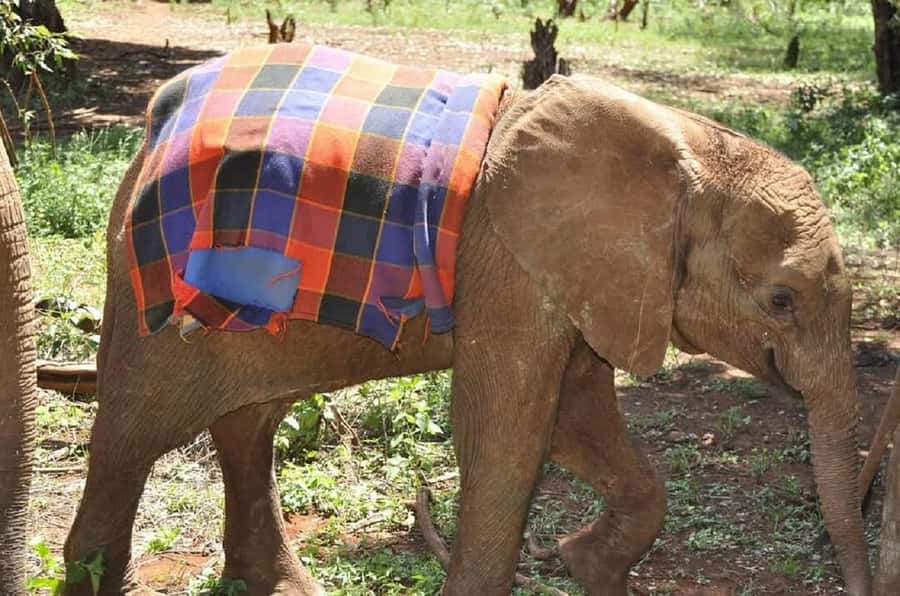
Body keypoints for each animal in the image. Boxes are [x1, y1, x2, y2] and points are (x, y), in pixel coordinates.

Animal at [64, 73, 872, 595]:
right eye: (780, 301)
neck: (687, 142)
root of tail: (150, 128)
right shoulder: (509, 261)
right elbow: (506, 434)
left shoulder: (581, 273)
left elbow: (574, 415)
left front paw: (585, 566)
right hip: (148, 286)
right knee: (133, 435)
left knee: (247, 423)